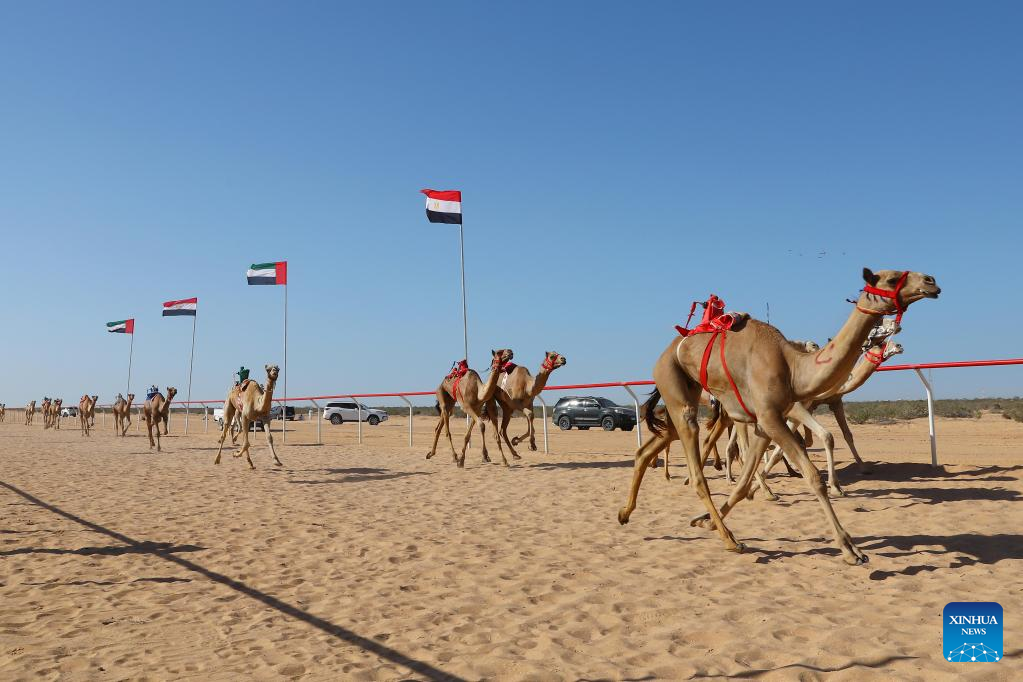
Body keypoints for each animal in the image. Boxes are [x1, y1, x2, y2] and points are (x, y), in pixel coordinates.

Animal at [617, 267, 937, 564]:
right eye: (891, 278)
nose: (931, 282)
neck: (792, 366)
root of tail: (670, 348)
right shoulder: (772, 416)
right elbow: (812, 475)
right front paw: (851, 550)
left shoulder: (766, 421)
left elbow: (746, 480)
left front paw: (704, 521)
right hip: (673, 384)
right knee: (697, 471)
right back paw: (730, 539)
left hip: (687, 396)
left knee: (648, 448)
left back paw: (625, 512)